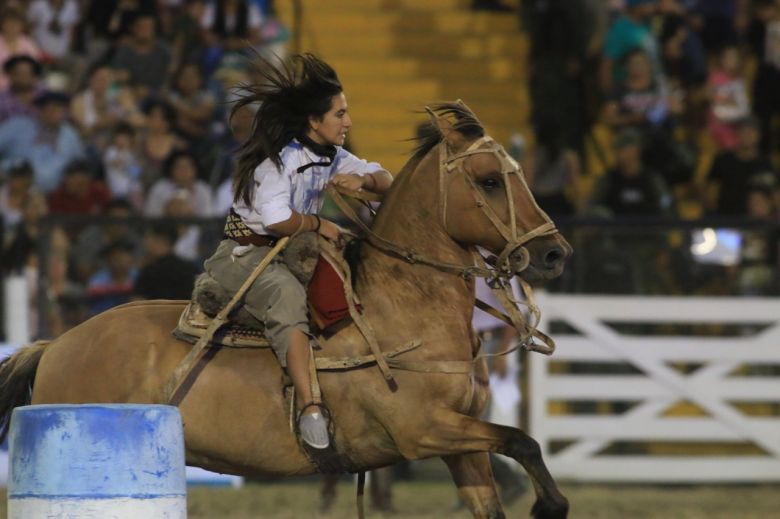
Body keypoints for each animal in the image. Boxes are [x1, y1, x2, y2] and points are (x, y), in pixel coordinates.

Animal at [0, 102, 572, 519]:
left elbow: (506, 466)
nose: (553, 253)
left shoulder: (463, 442)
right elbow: (523, 441)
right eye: (490, 180)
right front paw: (548, 505)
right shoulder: (422, 430)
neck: (400, 307)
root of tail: (56, 344)